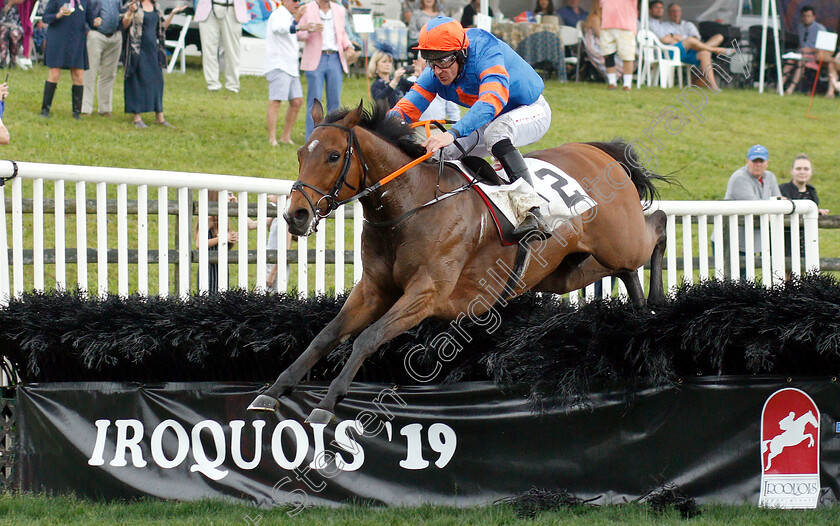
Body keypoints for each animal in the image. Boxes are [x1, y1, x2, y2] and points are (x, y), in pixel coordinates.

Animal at [249, 102, 668, 424]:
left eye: (334, 156)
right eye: (301, 154)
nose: (295, 216)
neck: (410, 205)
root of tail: (600, 152)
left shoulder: (426, 294)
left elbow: (367, 337)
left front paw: (326, 403)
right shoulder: (373, 289)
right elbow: (326, 335)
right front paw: (274, 390)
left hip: (620, 241)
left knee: (658, 226)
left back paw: (658, 305)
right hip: (564, 270)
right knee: (624, 268)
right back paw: (639, 315)